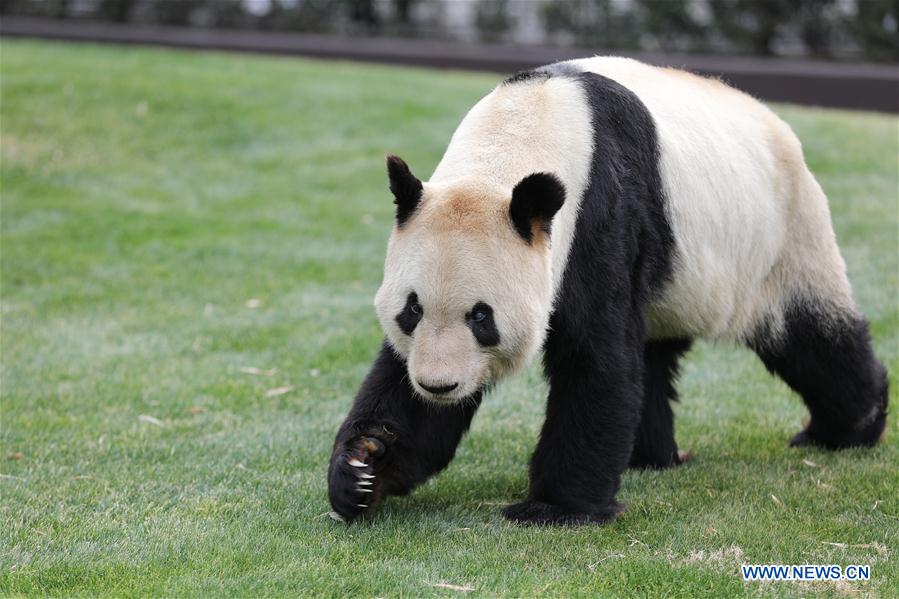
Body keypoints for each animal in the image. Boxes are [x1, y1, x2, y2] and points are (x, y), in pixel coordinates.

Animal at [326, 56, 888, 524]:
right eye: (411, 311)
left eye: (481, 317)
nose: (440, 386)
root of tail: (778, 124)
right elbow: (399, 384)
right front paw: (364, 467)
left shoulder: (600, 215)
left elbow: (594, 357)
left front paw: (555, 508)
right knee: (652, 355)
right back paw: (651, 457)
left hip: (782, 237)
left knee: (811, 335)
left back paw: (848, 427)